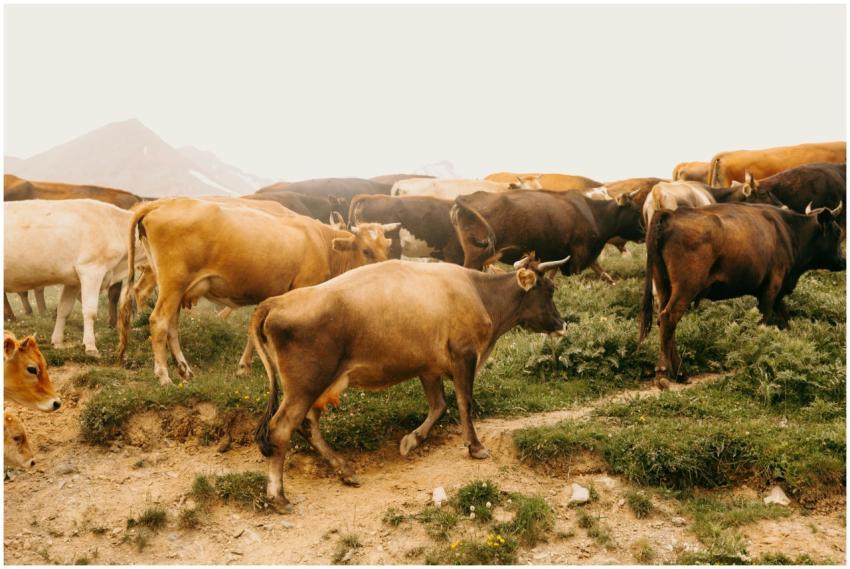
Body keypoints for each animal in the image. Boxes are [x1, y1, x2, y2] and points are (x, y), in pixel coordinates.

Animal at [5, 200, 146, 356]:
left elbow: (64, 310)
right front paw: (90, 347)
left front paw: (58, 342)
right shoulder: (91, 270)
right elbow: (90, 312)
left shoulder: (73, 281)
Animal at [116, 198, 398, 385]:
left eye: (387, 246)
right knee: (159, 321)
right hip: (172, 282)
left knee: (171, 324)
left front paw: (245, 367)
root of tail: (161, 203)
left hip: (176, 287)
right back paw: (163, 376)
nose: (387, 273)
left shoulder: (268, 295)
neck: (321, 242)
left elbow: (254, 331)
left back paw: (184, 369)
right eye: (366, 250)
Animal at [250, 253, 569, 510]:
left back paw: (344, 470)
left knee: (308, 425)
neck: (480, 294)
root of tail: (277, 301)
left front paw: (411, 440)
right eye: (550, 290)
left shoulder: (428, 367)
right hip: (305, 384)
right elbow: (464, 402)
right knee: (281, 429)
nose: (562, 324)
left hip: (321, 385)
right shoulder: (464, 355)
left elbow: (439, 406)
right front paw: (475, 446)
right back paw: (279, 497)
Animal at [450, 190, 643, 284]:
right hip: (476, 256)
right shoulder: (579, 255)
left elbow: (604, 275)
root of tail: (466, 197)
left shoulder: (562, 255)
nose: (643, 233)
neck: (594, 214)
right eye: (635, 211)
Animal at [638, 202, 845, 386]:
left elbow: (786, 319)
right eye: (837, 233)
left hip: (664, 287)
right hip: (686, 288)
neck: (788, 231)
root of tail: (672, 214)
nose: (843, 261)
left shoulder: (777, 293)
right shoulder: (770, 289)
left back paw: (681, 373)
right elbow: (764, 321)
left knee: (664, 322)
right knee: (669, 318)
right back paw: (663, 373)